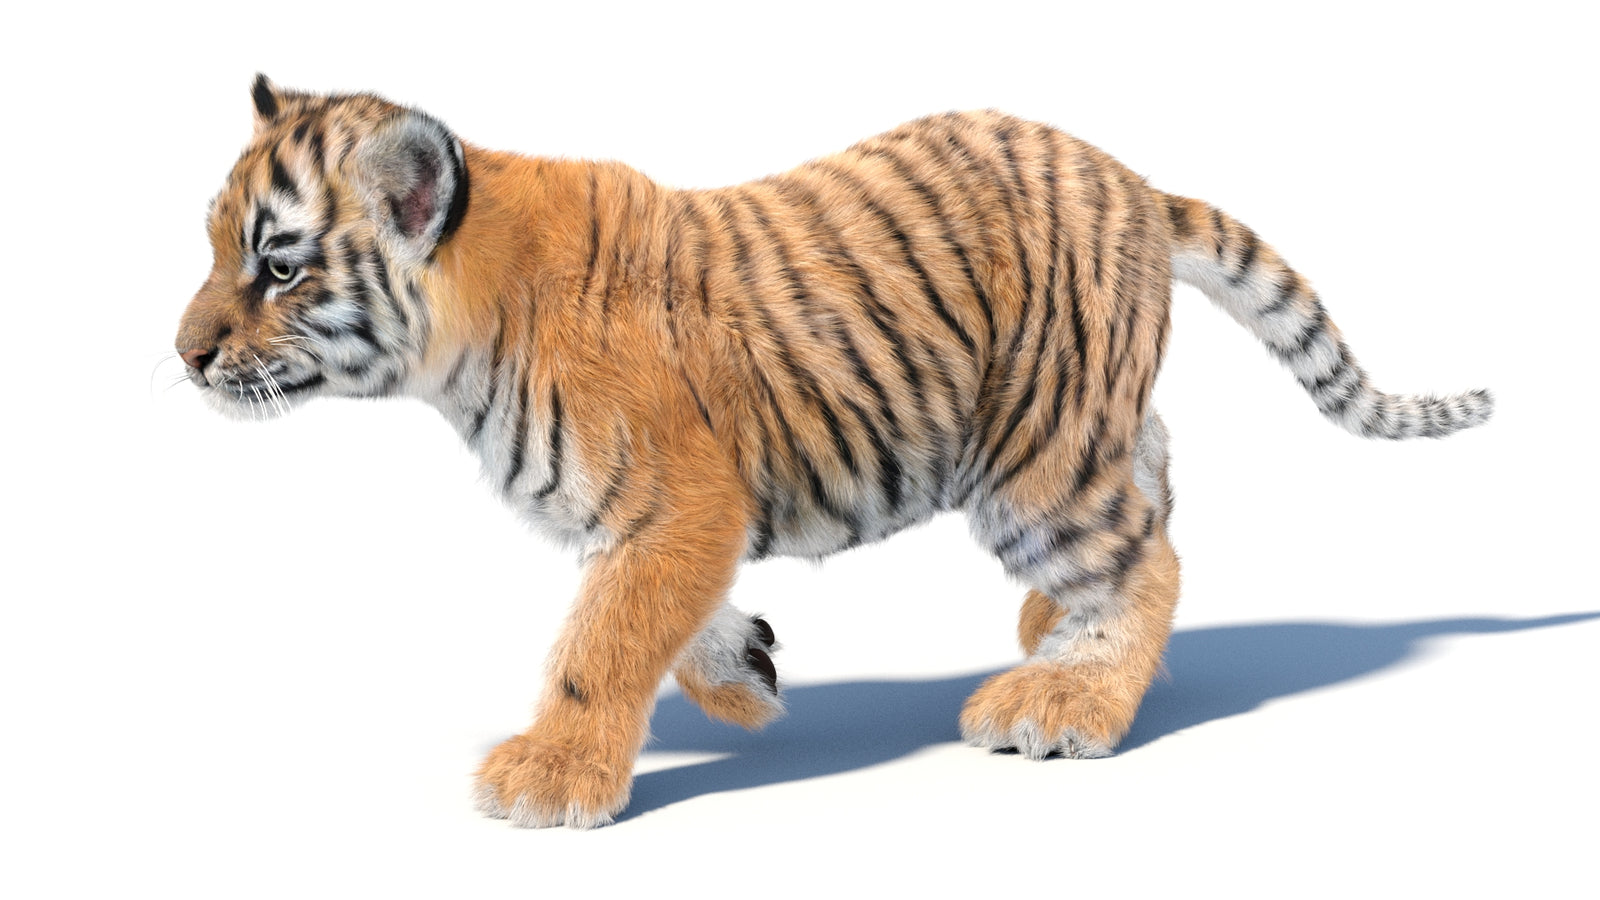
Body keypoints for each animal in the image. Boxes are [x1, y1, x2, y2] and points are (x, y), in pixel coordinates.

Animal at [174, 75, 1493, 828]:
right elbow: (654, 619)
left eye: (278, 266)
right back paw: (1047, 631)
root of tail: (1129, 180)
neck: (460, 342)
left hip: (1035, 453)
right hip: (1082, 416)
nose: (183, 356)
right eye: (213, 245)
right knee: (1155, 468)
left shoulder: (680, 497)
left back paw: (1066, 695)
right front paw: (743, 676)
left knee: (1148, 558)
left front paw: (550, 773)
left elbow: (600, 639)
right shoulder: (657, 517)